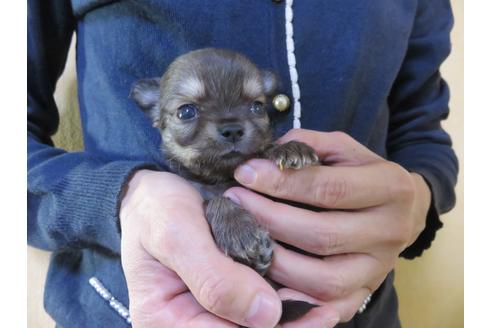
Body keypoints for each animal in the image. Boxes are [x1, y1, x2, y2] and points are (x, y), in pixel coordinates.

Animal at [130, 48, 320, 322]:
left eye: (257, 106)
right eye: (186, 112)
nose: (232, 129)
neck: (222, 176)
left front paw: (289, 148)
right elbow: (216, 201)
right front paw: (238, 230)